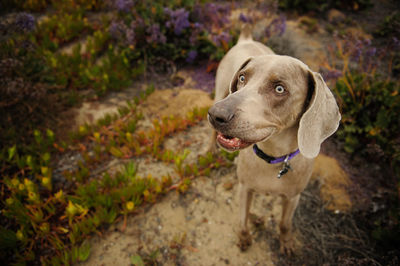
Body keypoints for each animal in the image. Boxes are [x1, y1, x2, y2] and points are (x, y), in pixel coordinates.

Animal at [206, 26, 340, 255]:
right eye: (242, 78)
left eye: (279, 89)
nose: (216, 115)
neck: (273, 156)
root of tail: (246, 39)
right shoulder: (245, 188)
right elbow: (242, 220)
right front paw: (244, 238)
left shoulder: (293, 197)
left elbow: (285, 223)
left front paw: (286, 243)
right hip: (220, 90)